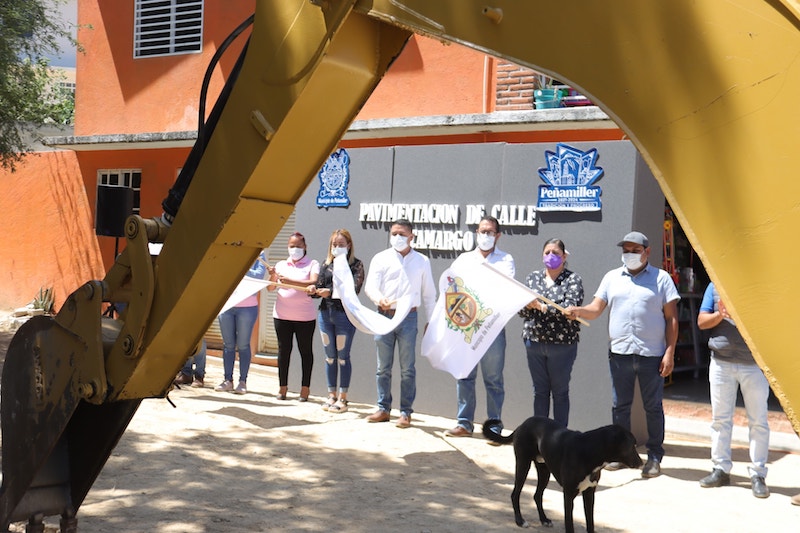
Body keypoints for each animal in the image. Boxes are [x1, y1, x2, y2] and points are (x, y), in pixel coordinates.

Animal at [482, 418, 644, 528]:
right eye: (632, 445)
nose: (641, 463)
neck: (590, 450)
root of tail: (523, 424)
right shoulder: (568, 495)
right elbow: (569, 524)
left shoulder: (589, 493)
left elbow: (590, 522)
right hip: (523, 464)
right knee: (515, 494)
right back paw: (520, 521)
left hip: (544, 471)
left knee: (537, 495)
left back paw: (544, 519)